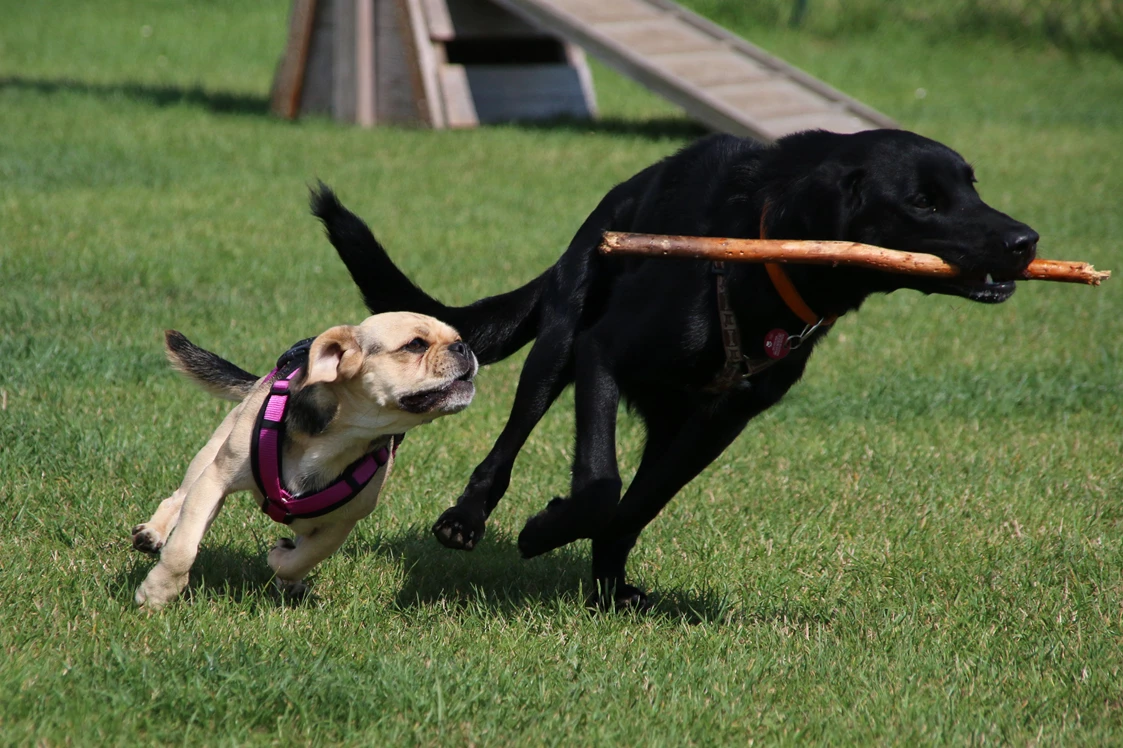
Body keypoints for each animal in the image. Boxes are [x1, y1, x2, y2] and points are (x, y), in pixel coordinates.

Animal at [130, 309, 473, 606]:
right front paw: (157, 593)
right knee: (178, 498)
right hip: (210, 455)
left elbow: (302, 558)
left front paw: (280, 559)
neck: (341, 436)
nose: (464, 346)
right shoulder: (214, 481)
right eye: (415, 345)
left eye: (458, 337)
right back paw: (153, 533)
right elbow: (183, 547)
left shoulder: (340, 523)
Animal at [312, 128, 1037, 606]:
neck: (765, 258)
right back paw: (467, 518)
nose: (1025, 239)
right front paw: (545, 529)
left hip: (664, 416)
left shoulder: (719, 423)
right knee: (510, 440)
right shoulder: (602, 353)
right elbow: (601, 486)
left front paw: (605, 579)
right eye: (924, 201)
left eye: (972, 185)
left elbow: (638, 505)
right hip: (559, 344)